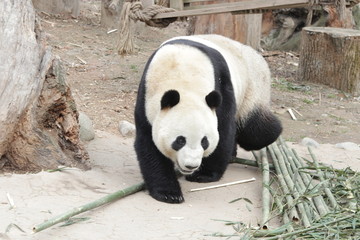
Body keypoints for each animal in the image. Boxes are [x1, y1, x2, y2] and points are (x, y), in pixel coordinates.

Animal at [134, 33, 282, 203]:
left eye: (204, 141)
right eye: (180, 140)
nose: (191, 166)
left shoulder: (221, 87)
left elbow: (223, 129)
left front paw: (204, 175)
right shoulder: (146, 98)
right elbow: (149, 144)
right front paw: (168, 193)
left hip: (253, 87)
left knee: (255, 130)